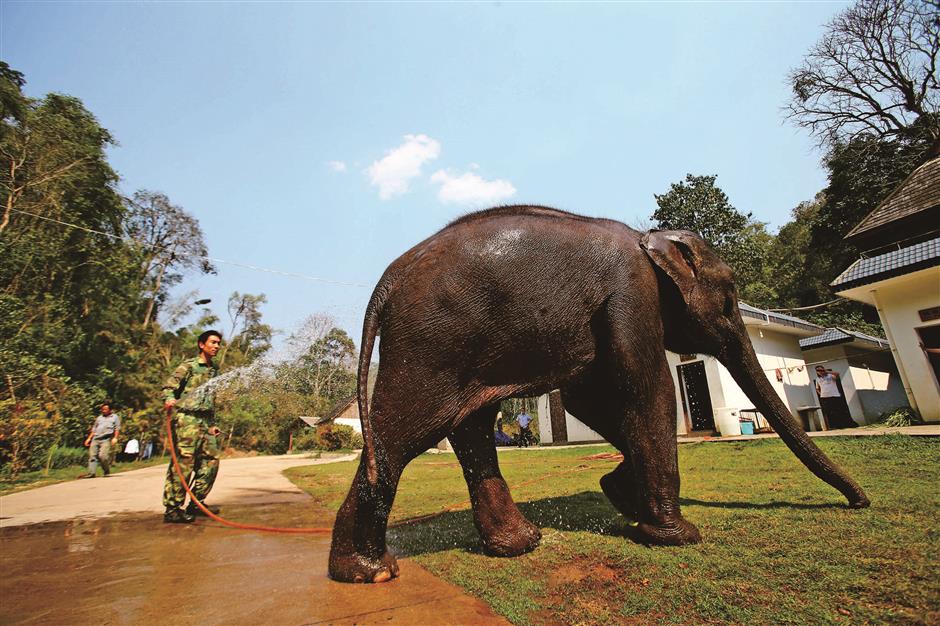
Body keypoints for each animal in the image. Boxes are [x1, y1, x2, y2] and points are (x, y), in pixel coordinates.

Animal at [326, 207, 872, 584]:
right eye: (730, 299)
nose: (860, 503)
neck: (652, 240)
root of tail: (386, 283)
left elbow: (590, 399)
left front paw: (620, 494)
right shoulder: (632, 295)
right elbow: (646, 390)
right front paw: (676, 537)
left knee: (469, 428)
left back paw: (517, 545)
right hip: (432, 345)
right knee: (404, 433)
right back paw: (370, 572)